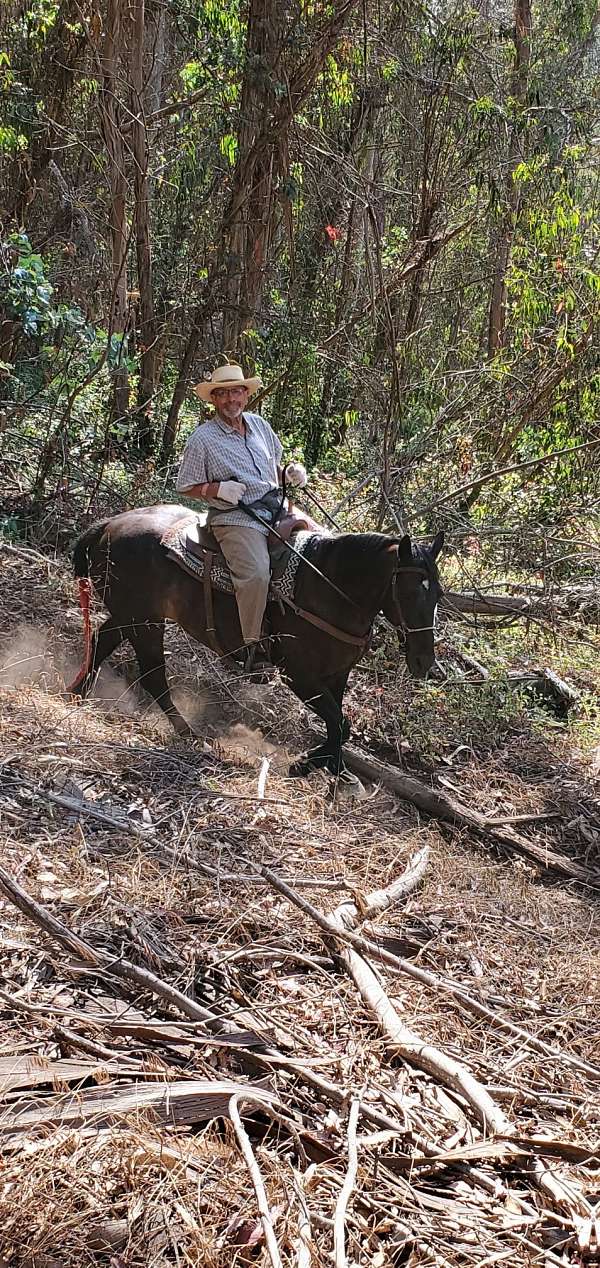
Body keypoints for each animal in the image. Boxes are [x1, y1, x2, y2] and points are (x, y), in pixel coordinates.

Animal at [71, 509, 443, 776]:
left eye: (438, 594)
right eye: (409, 593)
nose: (424, 661)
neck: (330, 590)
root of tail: (108, 525)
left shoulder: (337, 676)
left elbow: (338, 726)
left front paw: (331, 770)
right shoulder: (300, 677)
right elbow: (341, 725)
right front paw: (303, 765)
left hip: (131, 616)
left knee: (101, 641)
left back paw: (78, 693)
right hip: (144, 621)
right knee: (152, 674)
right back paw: (189, 734)